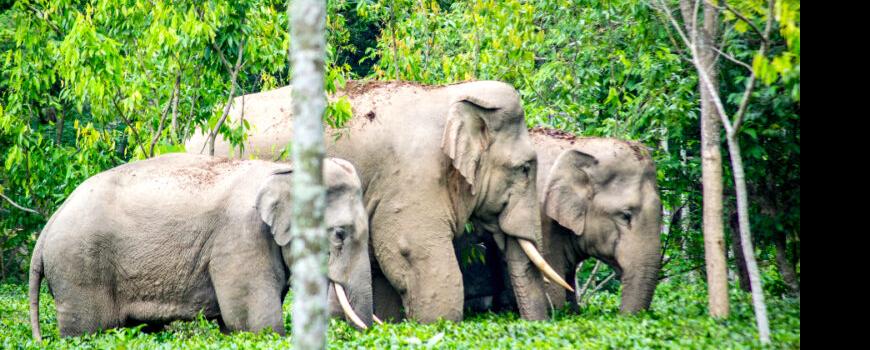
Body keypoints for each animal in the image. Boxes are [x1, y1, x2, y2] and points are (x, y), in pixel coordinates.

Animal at [29, 153, 372, 340]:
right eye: (339, 234)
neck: (283, 169)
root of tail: (50, 224)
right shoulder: (240, 238)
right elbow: (256, 323)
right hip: (80, 267)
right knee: (87, 330)